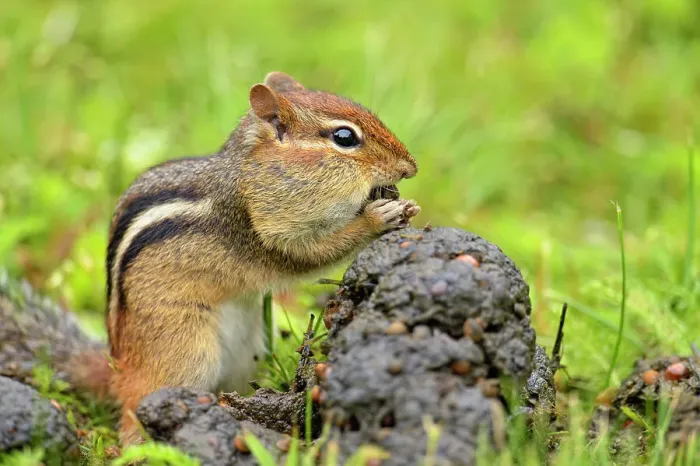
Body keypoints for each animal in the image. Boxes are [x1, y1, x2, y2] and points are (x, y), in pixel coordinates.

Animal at [0, 72, 420, 445]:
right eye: (344, 137)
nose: (410, 167)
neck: (249, 176)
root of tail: (117, 369)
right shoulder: (263, 232)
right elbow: (309, 255)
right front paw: (378, 217)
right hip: (186, 351)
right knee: (134, 414)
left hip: (247, 352)